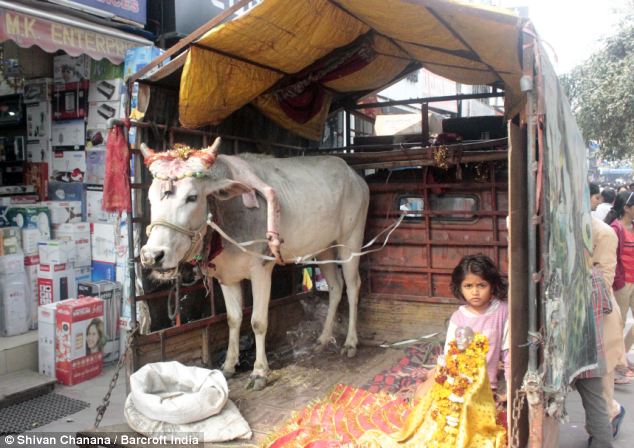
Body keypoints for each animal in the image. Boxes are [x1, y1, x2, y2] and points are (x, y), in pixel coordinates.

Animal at [138, 139, 366, 388]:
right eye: (149, 198)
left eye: (192, 197)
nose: (152, 255)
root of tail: (355, 176)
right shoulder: (225, 277)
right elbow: (233, 319)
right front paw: (229, 365)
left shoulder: (261, 270)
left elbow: (257, 321)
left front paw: (259, 372)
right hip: (324, 247)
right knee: (335, 287)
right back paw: (323, 338)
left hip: (351, 240)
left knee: (353, 286)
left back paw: (351, 342)